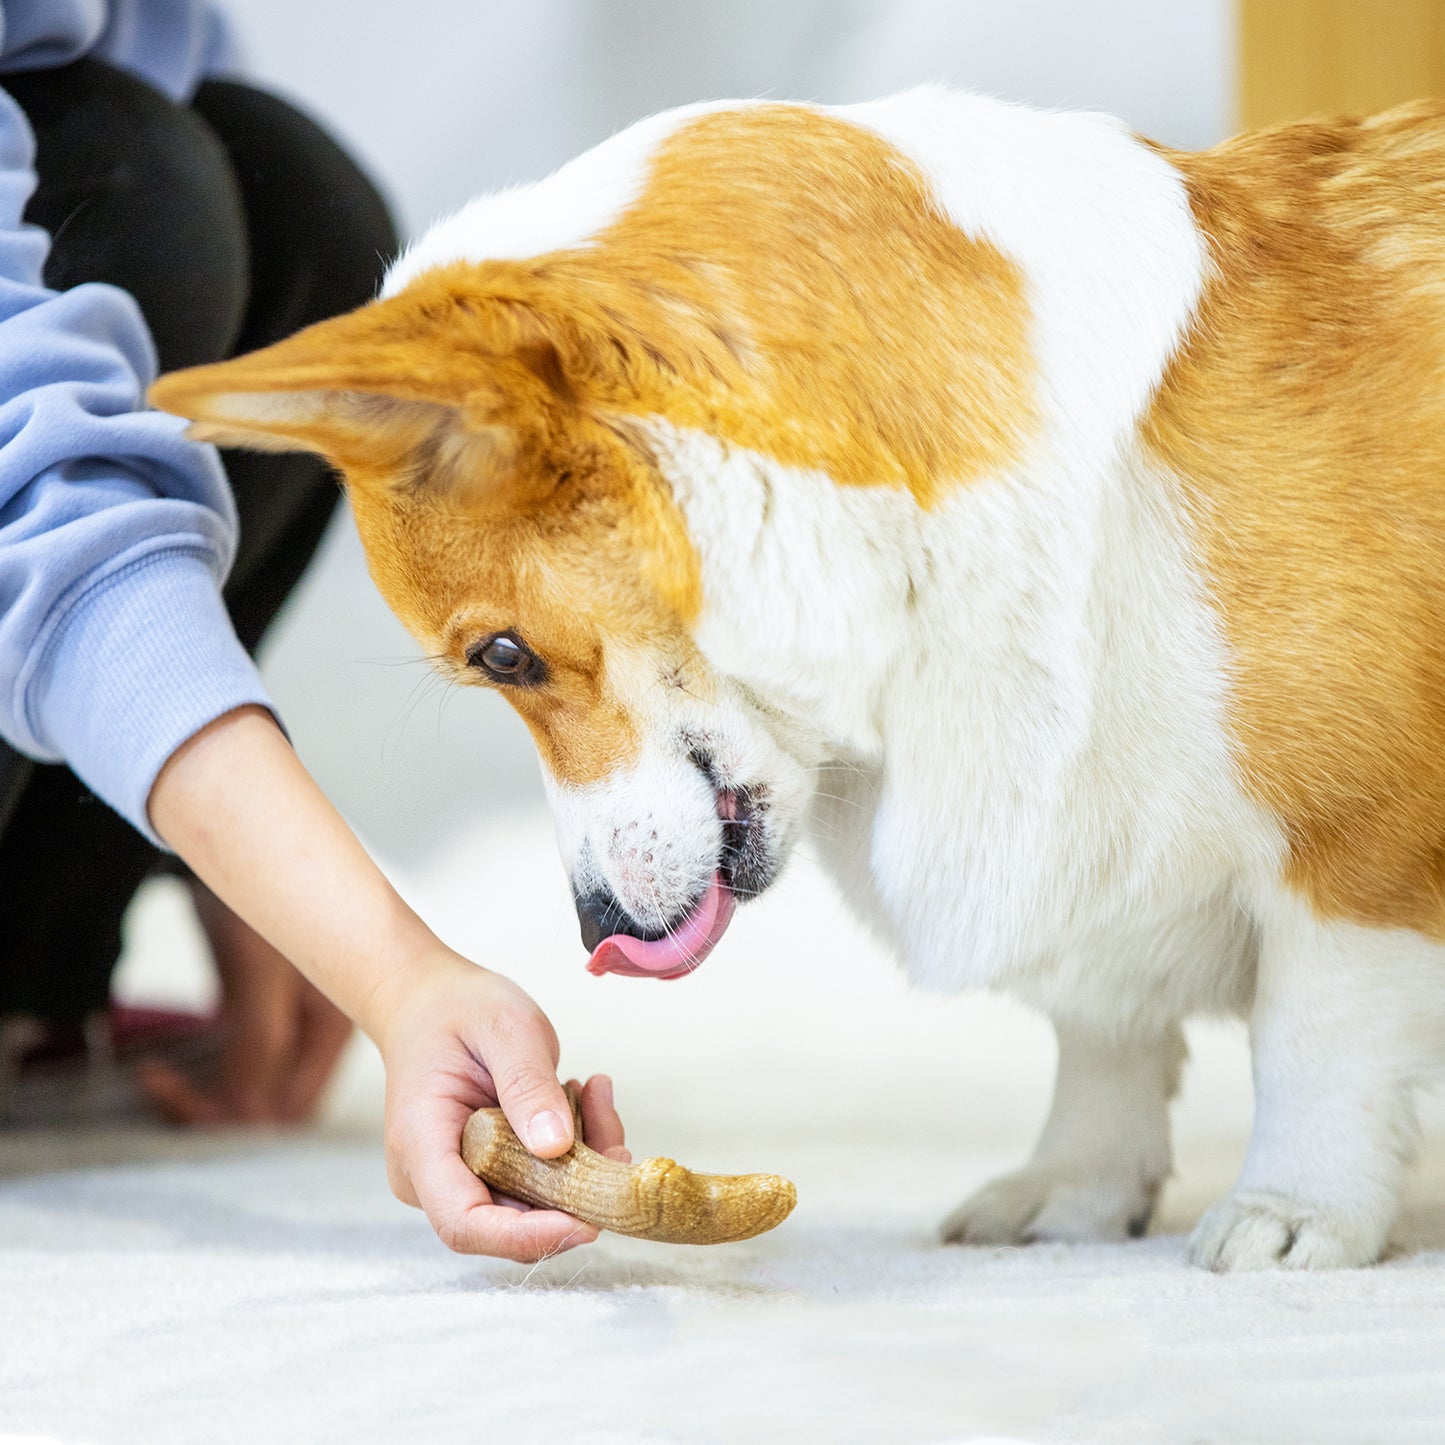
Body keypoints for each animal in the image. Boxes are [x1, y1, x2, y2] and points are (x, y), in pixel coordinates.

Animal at [149, 87, 1445, 1265]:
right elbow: (1103, 1036)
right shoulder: (1071, 833)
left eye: (501, 655)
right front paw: (1068, 1189)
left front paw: (1294, 1211)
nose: (593, 926)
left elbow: (1312, 1040)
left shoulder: (1355, 859)